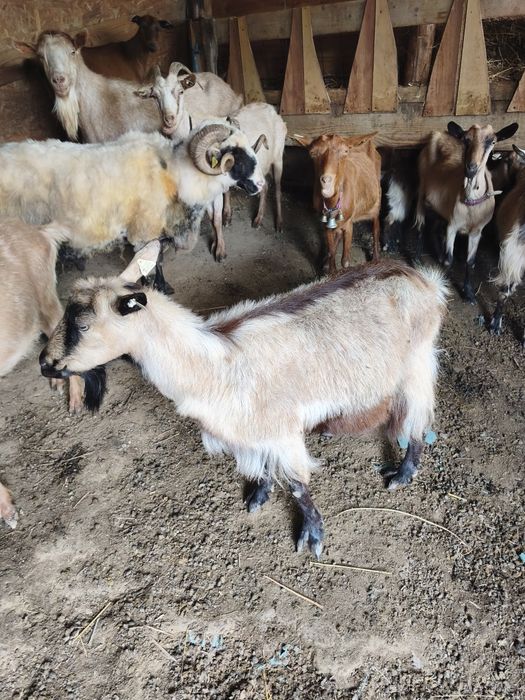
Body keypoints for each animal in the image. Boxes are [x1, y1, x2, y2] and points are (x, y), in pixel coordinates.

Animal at [0, 122, 265, 292]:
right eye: (235, 156)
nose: (262, 184)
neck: (175, 174)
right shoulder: (144, 230)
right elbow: (151, 263)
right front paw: (155, 288)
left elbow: (157, 259)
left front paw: (162, 285)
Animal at [40, 242, 448, 558]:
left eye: (82, 325)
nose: (45, 364)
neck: (214, 363)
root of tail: (422, 279)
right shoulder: (249, 430)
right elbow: (260, 467)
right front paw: (257, 497)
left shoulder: (281, 429)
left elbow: (298, 486)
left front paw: (312, 537)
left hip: (417, 364)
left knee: (418, 420)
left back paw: (402, 473)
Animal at [135, 62, 246, 260]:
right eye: (155, 96)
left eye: (180, 91)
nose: (169, 120)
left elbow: (216, 217)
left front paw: (220, 250)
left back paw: (227, 215)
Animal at [295, 133, 381, 274]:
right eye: (312, 153)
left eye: (345, 152)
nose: (326, 181)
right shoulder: (325, 224)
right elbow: (331, 252)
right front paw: (330, 271)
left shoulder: (349, 223)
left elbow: (345, 261)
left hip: (376, 198)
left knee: (376, 224)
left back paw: (376, 259)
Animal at [416, 121, 518, 303]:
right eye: (466, 139)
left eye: (492, 141)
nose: (471, 169)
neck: (471, 202)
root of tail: (438, 134)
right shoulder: (453, 225)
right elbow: (450, 259)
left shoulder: (477, 231)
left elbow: (470, 262)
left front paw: (469, 293)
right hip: (421, 189)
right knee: (420, 224)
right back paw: (417, 259)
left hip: (439, 207)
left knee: (433, 228)